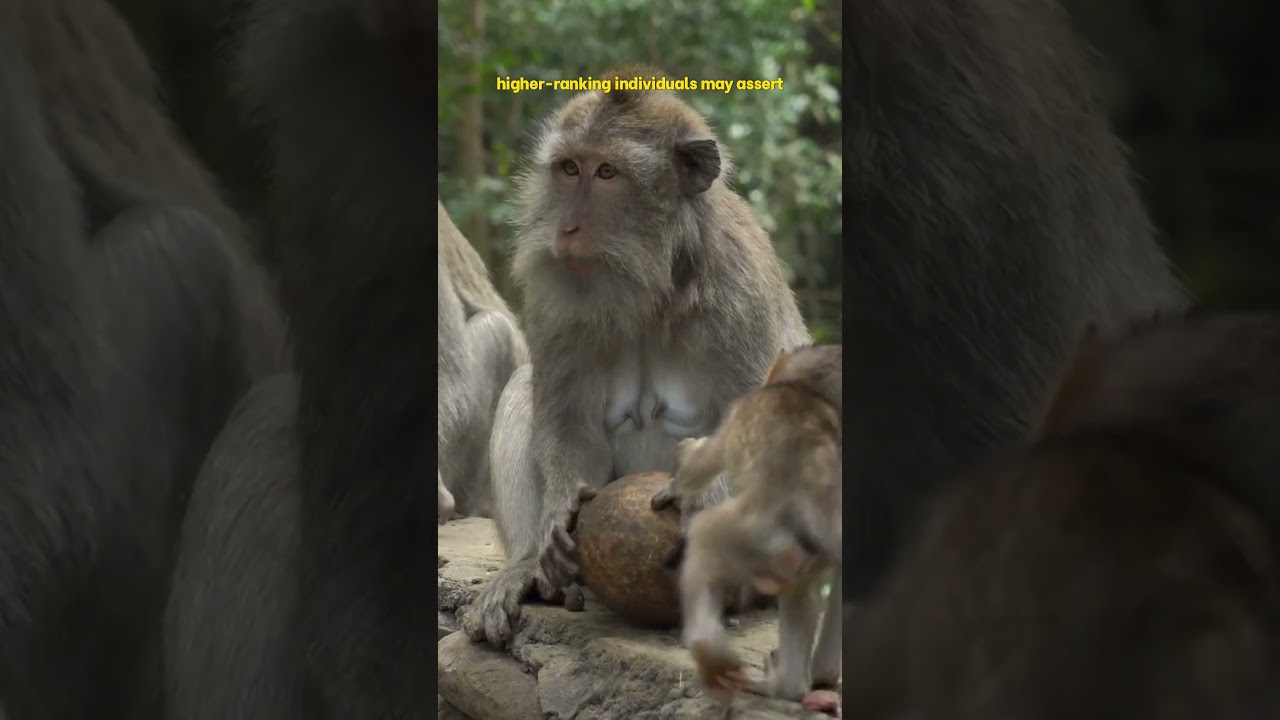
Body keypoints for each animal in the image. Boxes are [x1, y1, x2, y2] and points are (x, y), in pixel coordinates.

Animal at [460, 64, 813, 649]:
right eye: (570, 168)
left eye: (607, 173)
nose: (567, 228)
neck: (654, 285)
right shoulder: (557, 304)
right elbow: (567, 422)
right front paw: (556, 521)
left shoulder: (741, 291)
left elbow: (761, 421)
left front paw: (699, 496)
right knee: (522, 385)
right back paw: (528, 568)